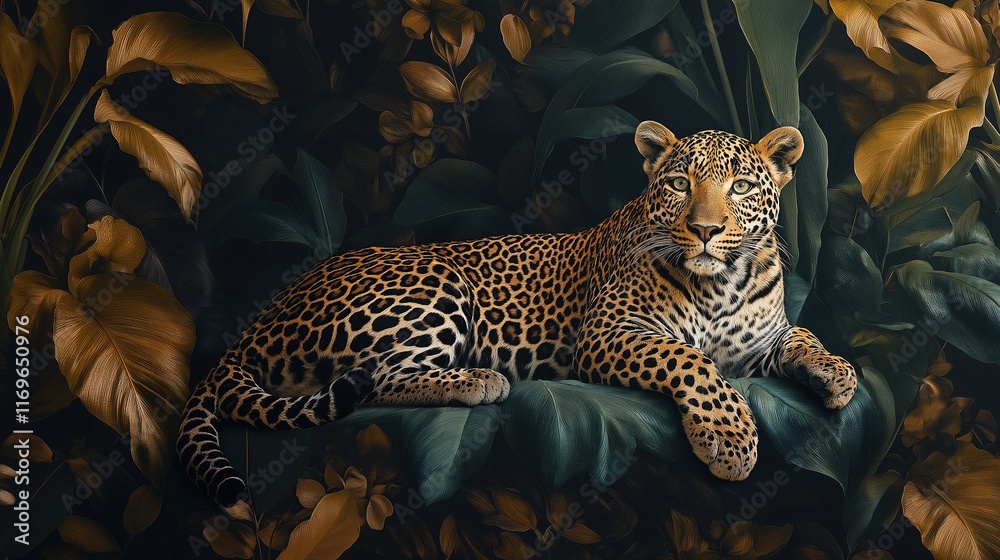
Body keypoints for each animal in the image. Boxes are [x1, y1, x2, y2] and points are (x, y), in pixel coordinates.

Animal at [177, 121, 857, 507]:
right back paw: (479, 380)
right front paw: (729, 438)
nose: (706, 229)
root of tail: (264, 315)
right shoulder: (612, 332)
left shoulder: (758, 344)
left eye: (740, 187)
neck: (723, 281)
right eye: (677, 185)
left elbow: (802, 336)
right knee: (375, 380)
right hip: (437, 282)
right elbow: (690, 361)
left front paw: (837, 374)